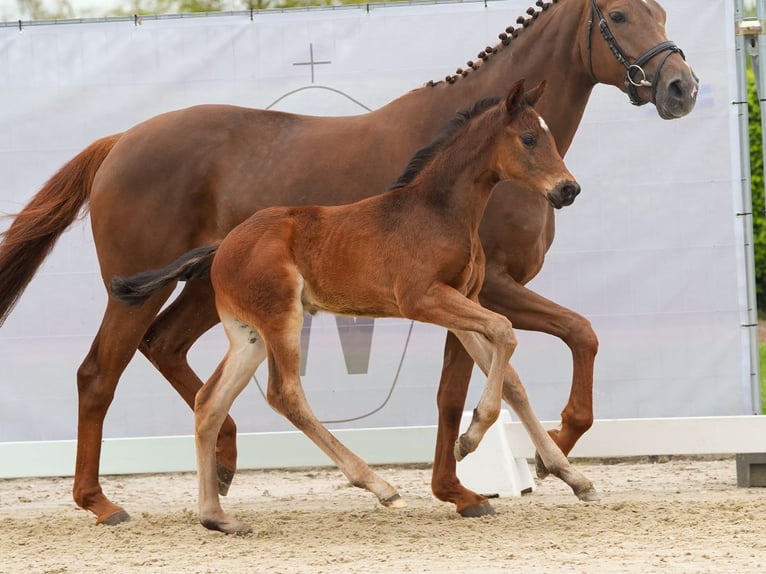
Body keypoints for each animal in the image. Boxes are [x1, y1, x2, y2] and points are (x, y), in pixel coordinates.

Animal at [111, 81, 596, 536]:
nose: (568, 189)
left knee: (209, 402)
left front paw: (570, 475)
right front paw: (471, 438)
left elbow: (511, 376)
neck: (438, 211)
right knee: (285, 394)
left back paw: (217, 518)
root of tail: (222, 245)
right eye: (529, 138)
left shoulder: (462, 301)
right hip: (281, 319)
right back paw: (380, 487)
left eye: (549, 136)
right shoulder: (423, 298)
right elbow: (505, 331)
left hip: (248, 335)